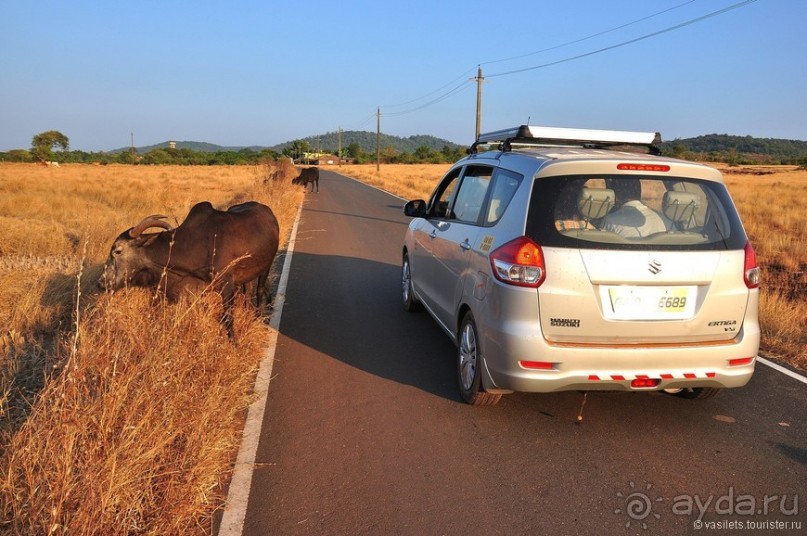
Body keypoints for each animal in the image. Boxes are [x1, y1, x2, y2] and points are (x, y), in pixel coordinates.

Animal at [99, 201, 280, 336]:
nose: (102, 282)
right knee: (248, 292)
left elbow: (228, 319)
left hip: (265, 268)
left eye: (117, 250)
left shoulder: (227, 286)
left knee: (259, 291)